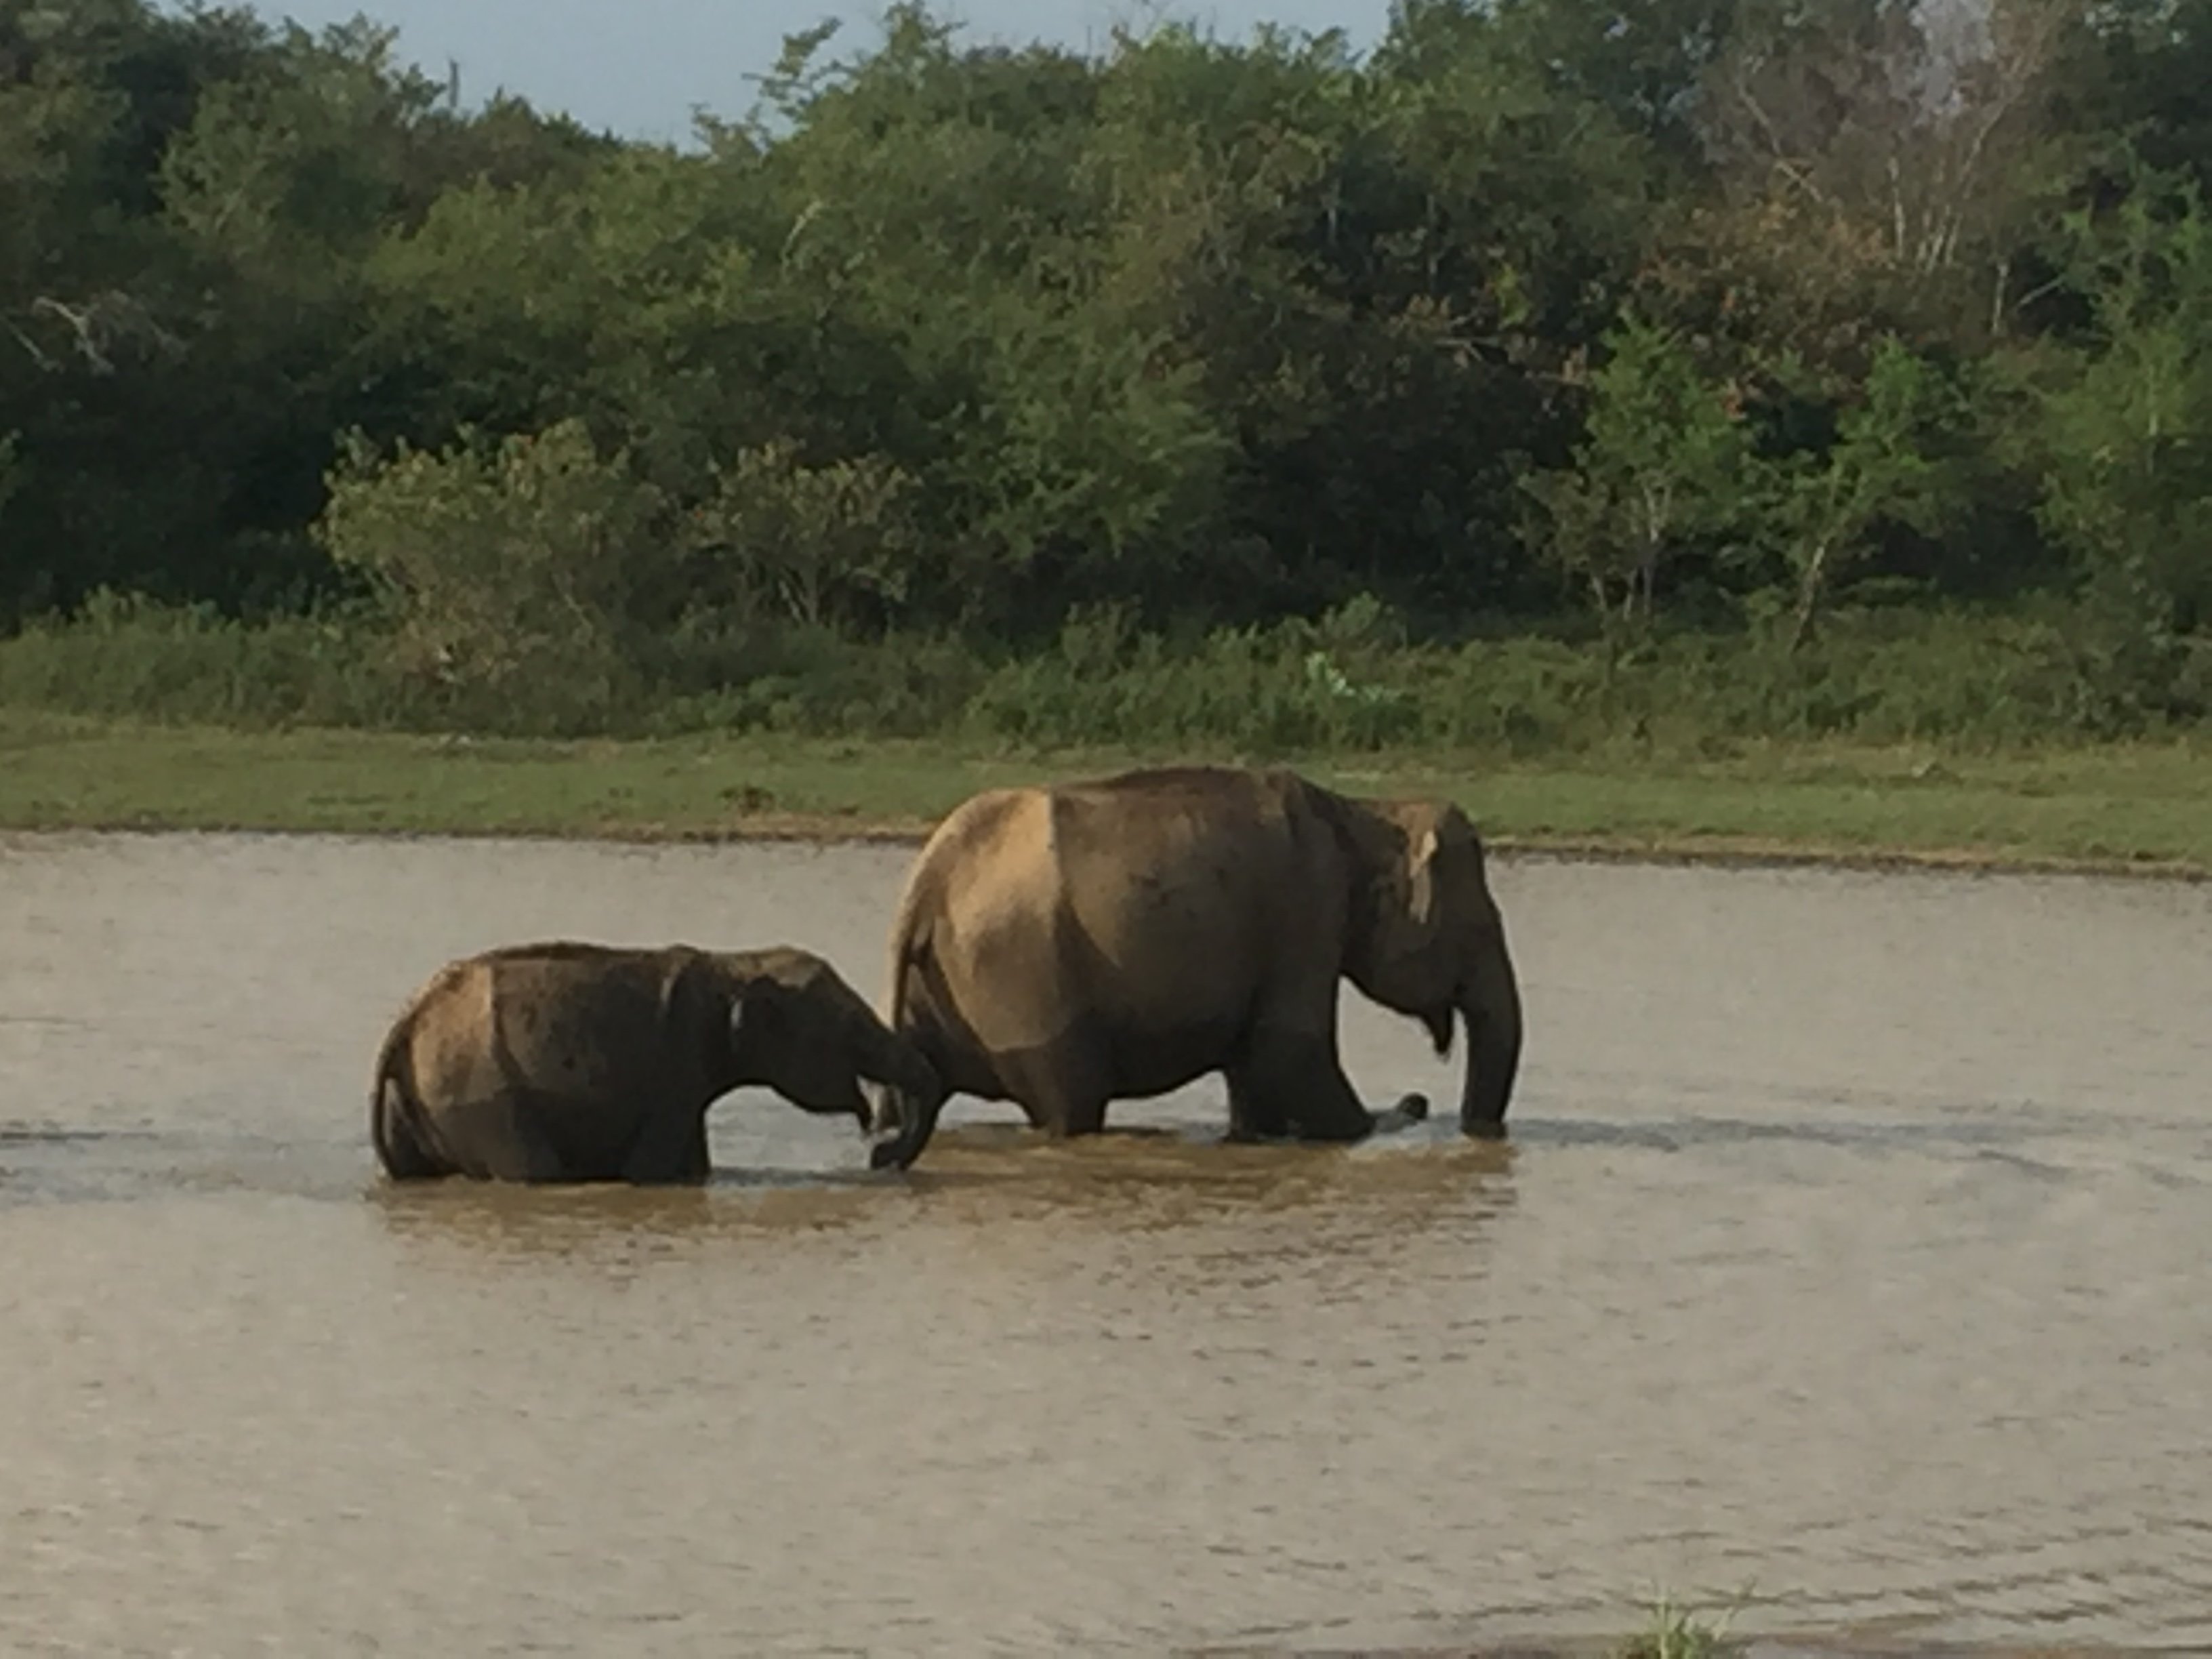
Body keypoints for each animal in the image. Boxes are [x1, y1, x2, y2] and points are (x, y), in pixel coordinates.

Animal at [369, 942, 933, 1185]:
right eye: (851, 1030)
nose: (877, 1152)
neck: (733, 964)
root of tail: (405, 1026)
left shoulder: (687, 1080)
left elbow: (694, 1164)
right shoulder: (673, 1072)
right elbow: (652, 1171)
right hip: (485, 1095)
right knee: (533, 1171)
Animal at [862, 765, 1521, 1168]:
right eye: (1478, 930)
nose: (1433, 1105)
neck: (1366, 813)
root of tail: (928, 879)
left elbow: (1256, 1070)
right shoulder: (1307, 911)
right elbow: (1292, 1054)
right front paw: (1391, 1118)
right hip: (1022, 979)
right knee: (1071, 1103)